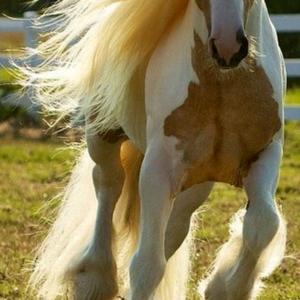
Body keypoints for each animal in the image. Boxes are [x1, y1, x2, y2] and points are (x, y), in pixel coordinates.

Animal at [22, 0, 288, 298]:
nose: (228, 46)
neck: (222, 84)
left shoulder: (265, 155)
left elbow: (263, 225)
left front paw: (223, 288)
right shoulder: (158, 169)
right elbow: (147, 265)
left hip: (194, 185)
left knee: (175, 227)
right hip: (102, 135)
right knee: (108, 184)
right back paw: (94, 279)